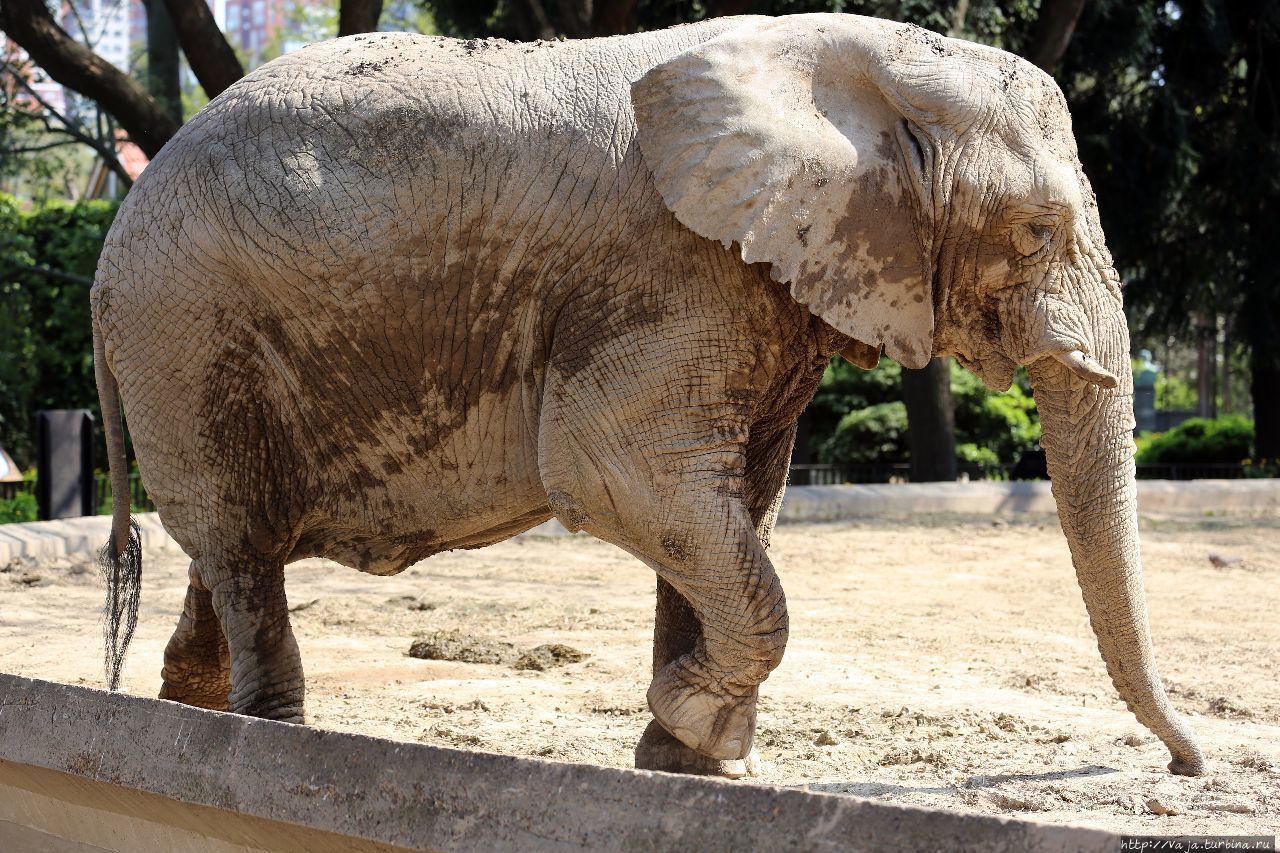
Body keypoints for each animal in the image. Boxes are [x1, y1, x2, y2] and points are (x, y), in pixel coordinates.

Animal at [94, 9, 1203, 773]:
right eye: (1035, 234)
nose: (1184, 765)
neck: (855, 60)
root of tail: (112, 238)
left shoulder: (749, 287)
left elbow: (730, 502)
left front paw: (692, 760)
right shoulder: (670, 269)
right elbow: (619, 476)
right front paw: (697, 724)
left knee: (230, 544)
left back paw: (183, 710)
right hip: (184, 330)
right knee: (241, 542)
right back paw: (277, 741)